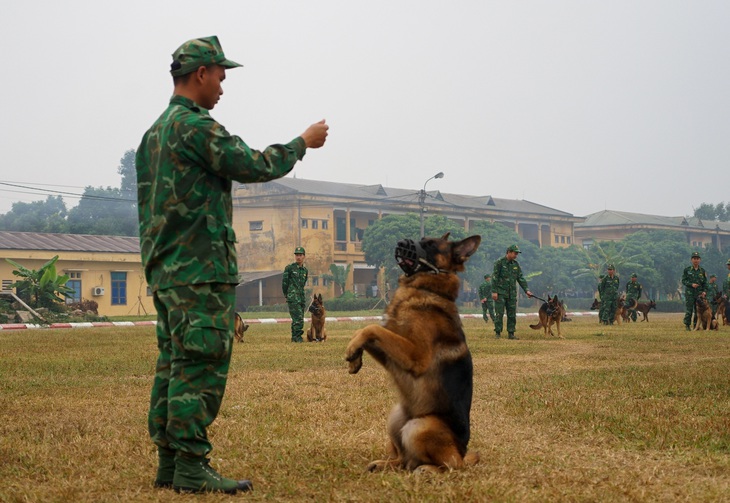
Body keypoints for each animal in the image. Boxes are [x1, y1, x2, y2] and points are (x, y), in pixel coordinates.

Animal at [346, 234, 480, 474]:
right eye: (422, 239)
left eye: (431, 245)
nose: (400, 243)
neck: (428, 290)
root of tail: (462, 452)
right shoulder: (392, 356)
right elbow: (369, 332)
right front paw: (355, 357)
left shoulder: (415, 356)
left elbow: (372, 328)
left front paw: (353, 350)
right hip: (397, 416)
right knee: (403, 460)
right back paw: (384, 464)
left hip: (419, 426)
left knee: (450, 466)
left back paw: (429, 470)